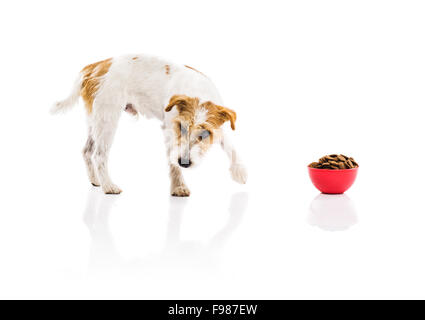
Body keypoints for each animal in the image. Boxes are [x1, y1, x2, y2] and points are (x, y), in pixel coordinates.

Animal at [51, 53, 247, 196]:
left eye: (205, 134)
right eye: (181, 127)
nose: (184, 163)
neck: (198, 92)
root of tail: (96, 66)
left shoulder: (219, 128)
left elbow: (231, 147)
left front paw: (240, 172)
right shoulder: (169, 129)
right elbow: (172, 163)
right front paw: (179, 187)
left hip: (95, 121)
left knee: (86, 151)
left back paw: (96, 181)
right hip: (107, 120)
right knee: (99, 155)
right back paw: (108, 186)